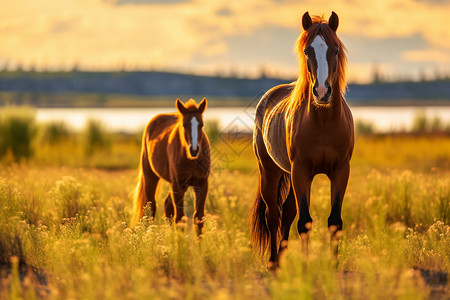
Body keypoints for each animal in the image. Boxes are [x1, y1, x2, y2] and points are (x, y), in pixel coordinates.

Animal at [132, 98, 211, 234]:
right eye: (184, 125)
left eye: (201, 125)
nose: (194, 149)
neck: (192, 161)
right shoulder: (178, 185)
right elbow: (179, 219)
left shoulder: (202, 184)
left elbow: (198, 218)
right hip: (151, 177)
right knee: (151, 207)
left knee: (167, 206)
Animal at [251, 11, 354, 268]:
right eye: (307, 51)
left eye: (335, 50)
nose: (322, 92)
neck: (324, 122)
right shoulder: (301, 171)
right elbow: (305, 222)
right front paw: (307, 266)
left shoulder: (341, 171)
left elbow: (334, 221)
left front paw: (333, 265)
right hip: (270, 171)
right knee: (273, 215)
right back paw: (274, 262)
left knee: (286, 213)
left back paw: (283, 256)